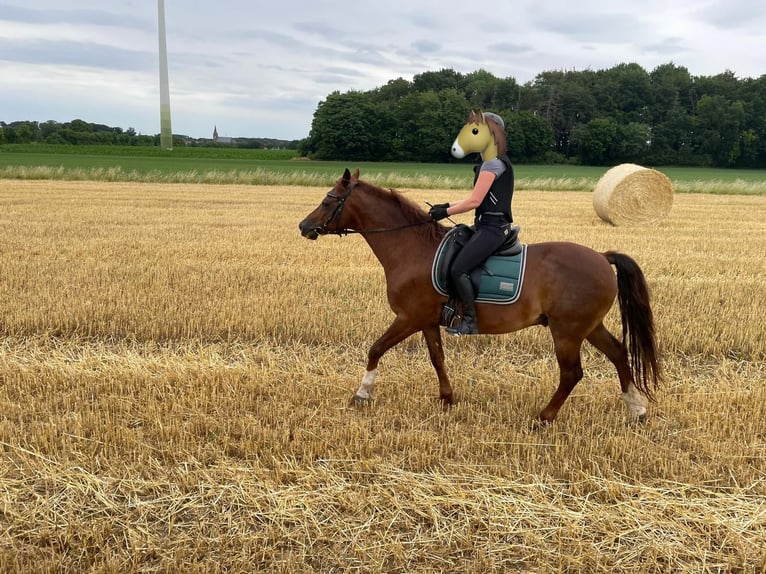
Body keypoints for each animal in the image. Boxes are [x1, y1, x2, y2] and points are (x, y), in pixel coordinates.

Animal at [296, 166, 664, 424]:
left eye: (328, 200)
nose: (303, 227)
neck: (412, 249)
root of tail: (602, 257)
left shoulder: (408, 317)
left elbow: (376, 349)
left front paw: (362, 393)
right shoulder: (427, 321)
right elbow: (437, 358)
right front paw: (447, 398)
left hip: (568, 331)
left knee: (572, 373)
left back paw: (544, 417)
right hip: (588, 326)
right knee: (619, 354)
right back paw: (637, 409)